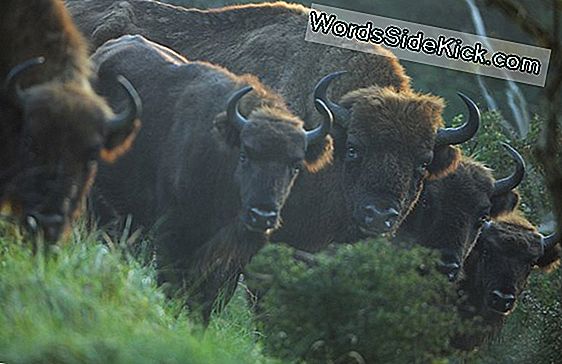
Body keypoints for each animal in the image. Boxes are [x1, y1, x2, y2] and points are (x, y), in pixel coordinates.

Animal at [88, 35, 332, 322]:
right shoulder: (173, 236)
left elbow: (206, 300)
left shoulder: (226, 258)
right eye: (245, 154)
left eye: (295, 166)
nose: (262, 216)